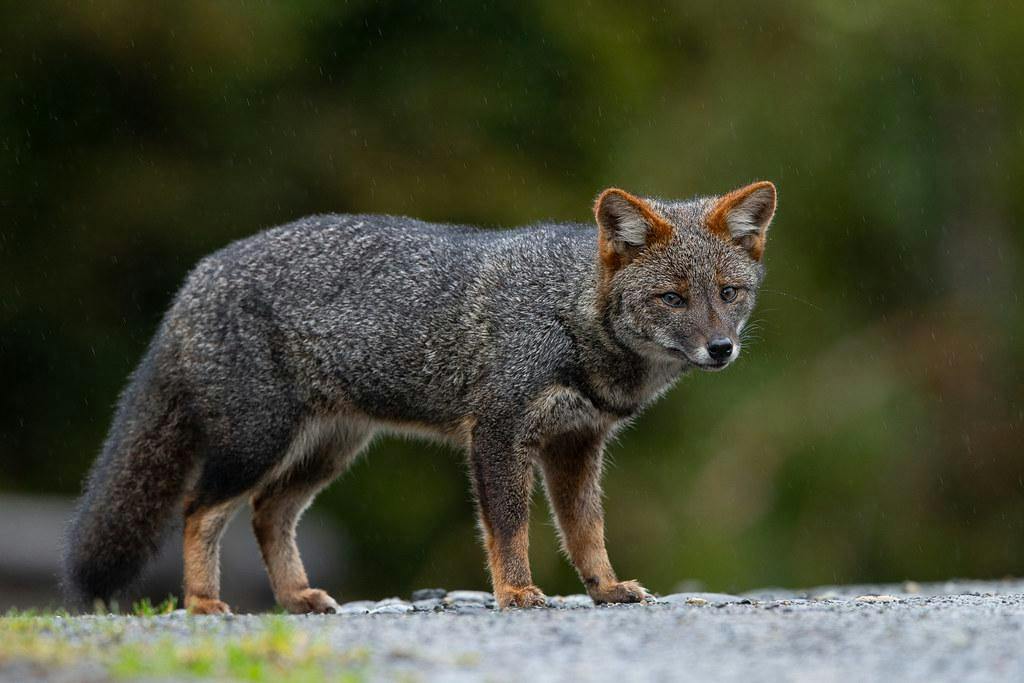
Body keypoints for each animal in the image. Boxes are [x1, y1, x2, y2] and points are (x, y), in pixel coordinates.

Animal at [63, 181, 776, 613]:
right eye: (672, 298)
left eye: (729, 294)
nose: (721, 348)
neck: (567, 313)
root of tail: (200, 274)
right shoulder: (498, 433)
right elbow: (509, 528)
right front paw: (516, 593)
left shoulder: (576, 444)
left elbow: (586, 531)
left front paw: (604, 588)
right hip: (257, 444)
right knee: (199, 511)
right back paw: (204, 604)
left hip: (325, 453)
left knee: (268, 514)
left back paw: (297, 599)